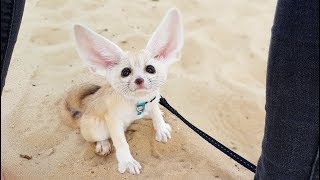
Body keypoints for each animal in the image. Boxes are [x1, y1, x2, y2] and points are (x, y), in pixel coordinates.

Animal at [60, 8, 182, 174]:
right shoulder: (113, 120)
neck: (138, 103)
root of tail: (82, 115)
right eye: (125, 72)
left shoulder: (153, 101)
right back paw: (103, 144)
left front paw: (161, 128)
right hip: (97, 127)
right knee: (99, 137)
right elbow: (121, 143)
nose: (139, 80)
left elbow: (156, 113)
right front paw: (127, 162)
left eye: (150, 69)